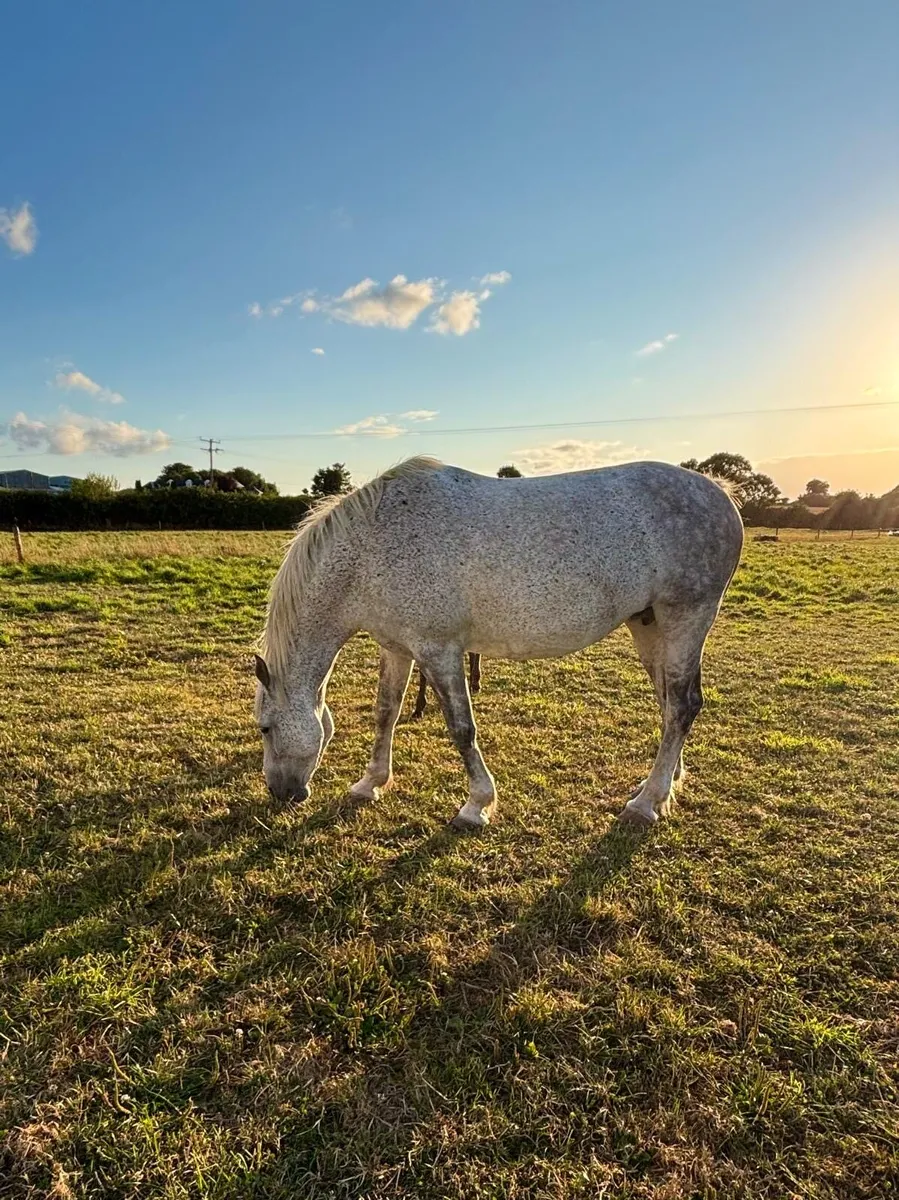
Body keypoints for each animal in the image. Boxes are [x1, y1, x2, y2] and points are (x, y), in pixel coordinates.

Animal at [254, 456, 743, 829]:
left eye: (264, 728)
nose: (282, 793)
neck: (373, 547)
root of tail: (719, 492)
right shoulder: (396, 648)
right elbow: (385, 712)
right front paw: (370, 783)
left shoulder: (439, 651)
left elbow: (461, 728)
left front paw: (476, 805)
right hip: (650, 625)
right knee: (669, 703)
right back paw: (663, 787)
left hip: (686, 618)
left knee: (682, 706)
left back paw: (645, 804)